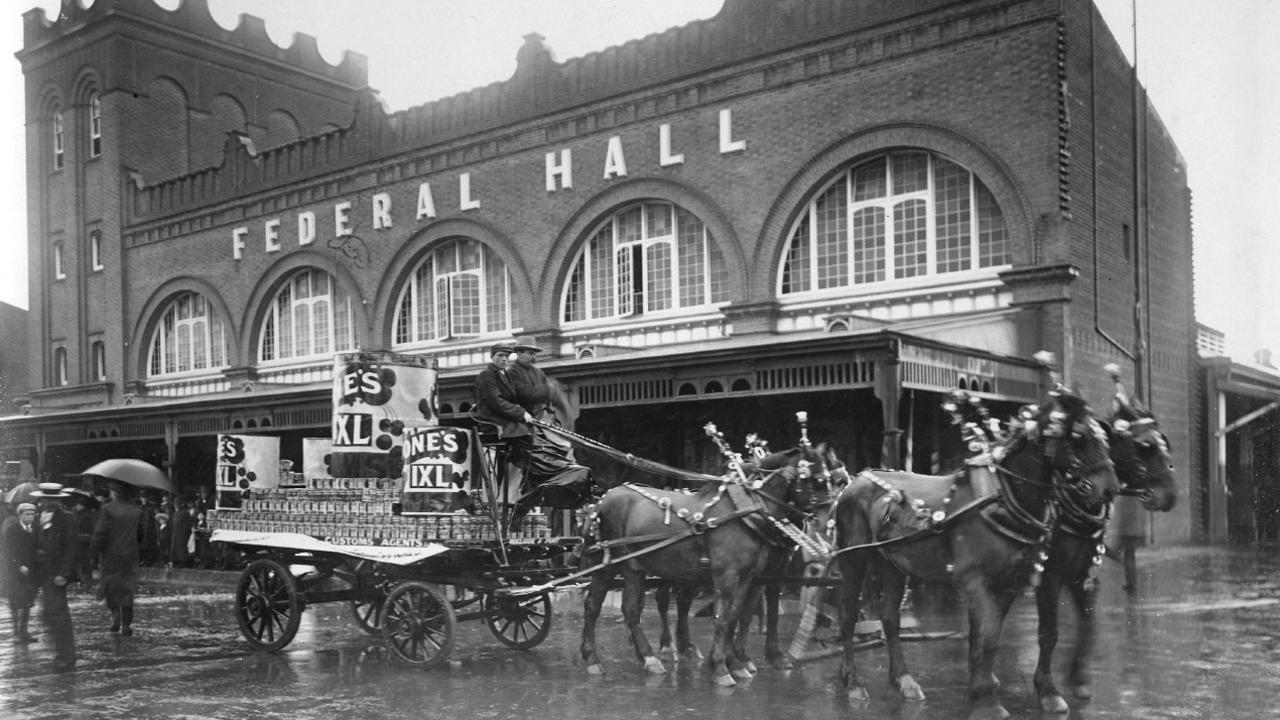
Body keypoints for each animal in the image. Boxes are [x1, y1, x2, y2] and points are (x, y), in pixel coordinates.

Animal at [581, 443, 839, 681]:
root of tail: (601, 500)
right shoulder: (728, 575)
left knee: (621, 607)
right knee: (610, 607)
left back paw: (633, 656)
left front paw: (735, 662)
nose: (830, 523)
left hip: (634, 568)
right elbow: (724, 619)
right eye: (817, 480)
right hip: (613, 565)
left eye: (834, 481)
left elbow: (738, 616)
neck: (748, 513)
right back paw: (622, 658)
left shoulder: (751, 576)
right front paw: (722, 667)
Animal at [829, 386, 1121, 717]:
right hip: (854, 559)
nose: (1110, 488)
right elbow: (992, 636)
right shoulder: (980, 581)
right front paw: (988, 700)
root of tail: (853, 483)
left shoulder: (1010, 583)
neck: (1003, 498)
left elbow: (993, 637)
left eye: (1105, 440)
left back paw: (904, 681)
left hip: (893, 565)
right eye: (1078, 437)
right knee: (848, 617)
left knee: (890, 618)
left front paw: (986, 688)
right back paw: (854, 683)